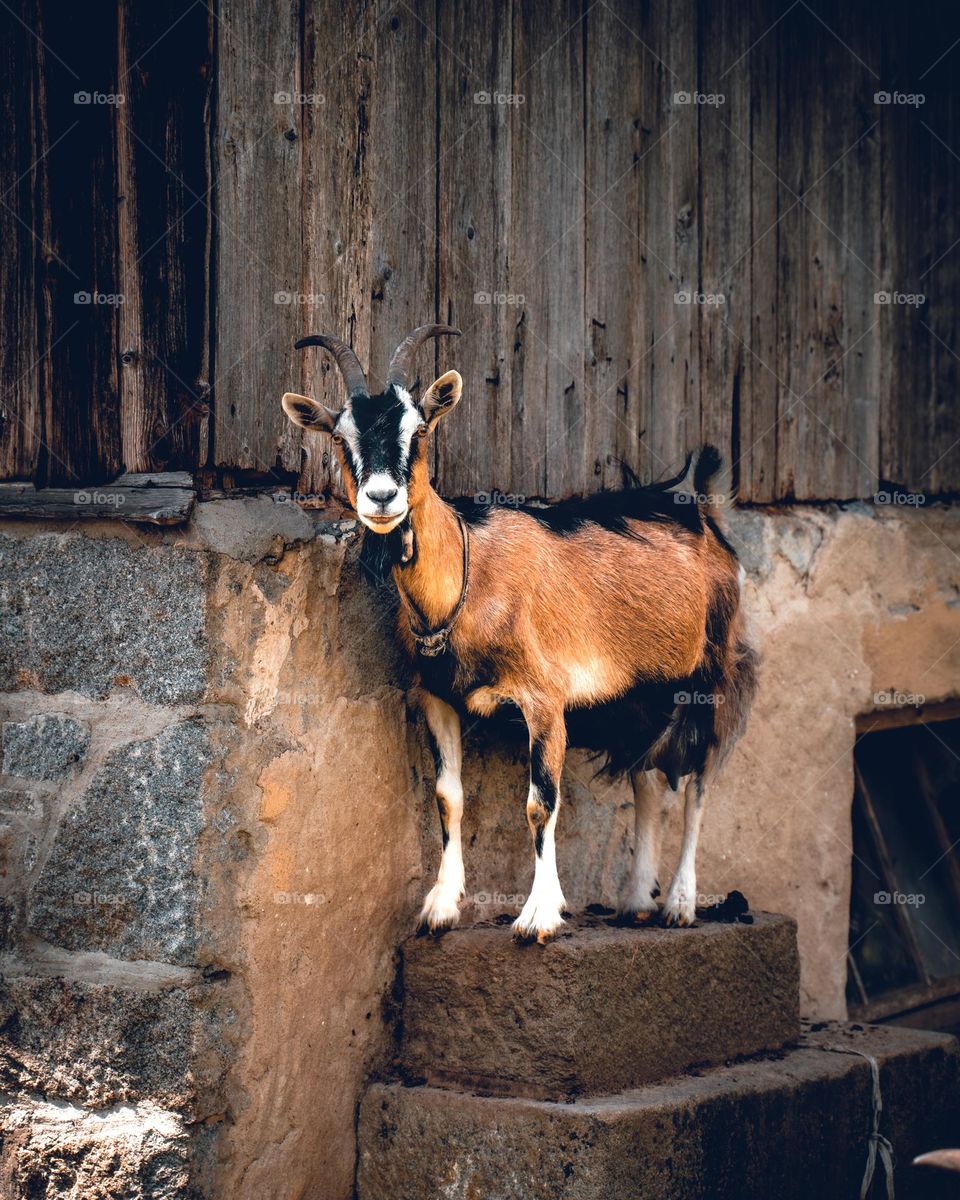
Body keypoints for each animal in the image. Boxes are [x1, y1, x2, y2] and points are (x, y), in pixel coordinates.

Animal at [282, 325, 757, 943]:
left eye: (420, 430)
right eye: (341, 437)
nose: (382, 498)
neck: (468, 574)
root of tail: (703, 509)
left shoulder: (545, 699)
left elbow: (540, 803)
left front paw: (538, 917)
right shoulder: (438, 697)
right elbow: (448, 796)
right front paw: (441, 907)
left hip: (711, 676)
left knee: (699, 779)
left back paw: (679, 903)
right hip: (634, 693)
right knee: (648, 781)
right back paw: (635, 900)